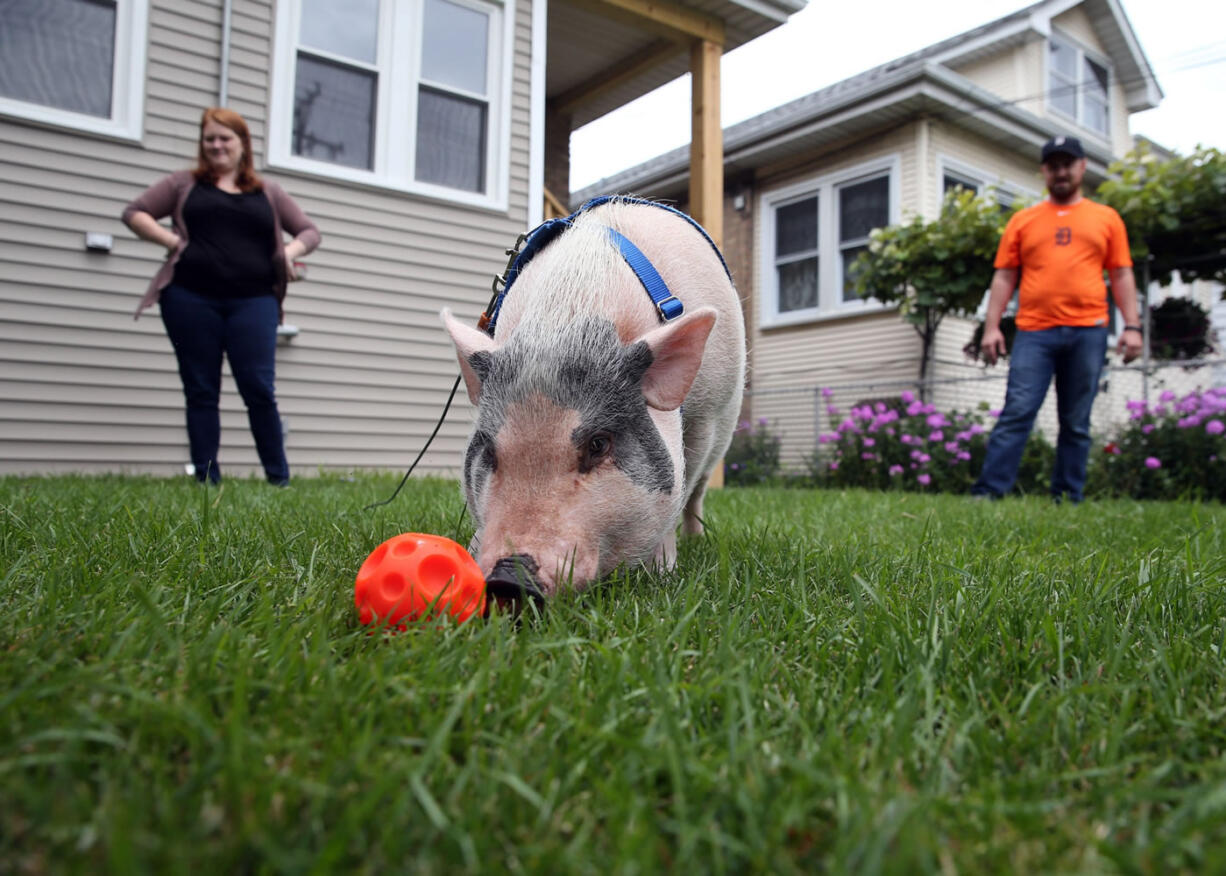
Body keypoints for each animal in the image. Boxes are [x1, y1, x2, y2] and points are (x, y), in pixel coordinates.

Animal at [441, 198, 745, 607]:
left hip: (723, 423)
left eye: (599, 444)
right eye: (488, 449)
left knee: (696, 492)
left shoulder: (705, 418)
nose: (508, 579)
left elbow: (681, 490)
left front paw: (664, 571)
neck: (570, 316)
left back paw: (696, 539)